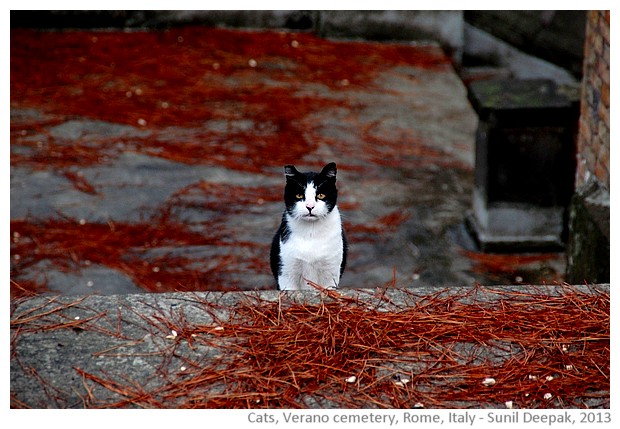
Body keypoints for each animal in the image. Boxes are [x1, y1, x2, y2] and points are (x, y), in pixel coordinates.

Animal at [268, 162, 346, 290]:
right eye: (299, 195)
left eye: (321, 195)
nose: (310, 206)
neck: (311, 231)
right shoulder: (286, 272)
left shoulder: (331, 271)